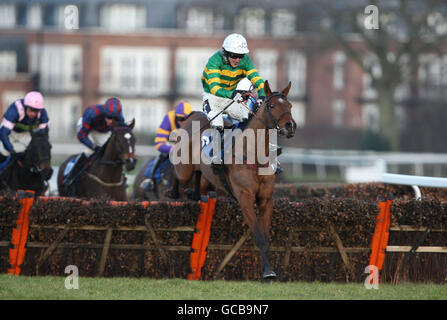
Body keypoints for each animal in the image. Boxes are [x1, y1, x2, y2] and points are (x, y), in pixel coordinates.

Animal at [173, 80, 296, 280]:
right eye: (271, 106)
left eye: (290, 106)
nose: (290, 126)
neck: (253, 153)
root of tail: (193, 116)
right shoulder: (245, 198)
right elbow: (259, 237)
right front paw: (267, 273)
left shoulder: (266, 200)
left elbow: (265, 237)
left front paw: (269, 270)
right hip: (183, 169)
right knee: (176, 172)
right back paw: (174, 191)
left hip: (206, 179)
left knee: (200, 184)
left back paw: (193, 193)